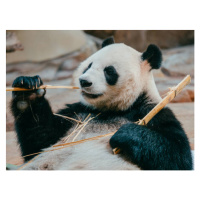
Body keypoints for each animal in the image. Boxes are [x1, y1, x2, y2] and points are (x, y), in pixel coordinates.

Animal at [10, 37, 193, 170]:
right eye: (88, 66)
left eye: (109, 71)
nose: (84, 81)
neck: (112, 109)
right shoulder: (78, 113)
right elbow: (39, 142)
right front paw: (28, 91)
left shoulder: (152, 111)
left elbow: (177, 157)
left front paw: (124, 133)